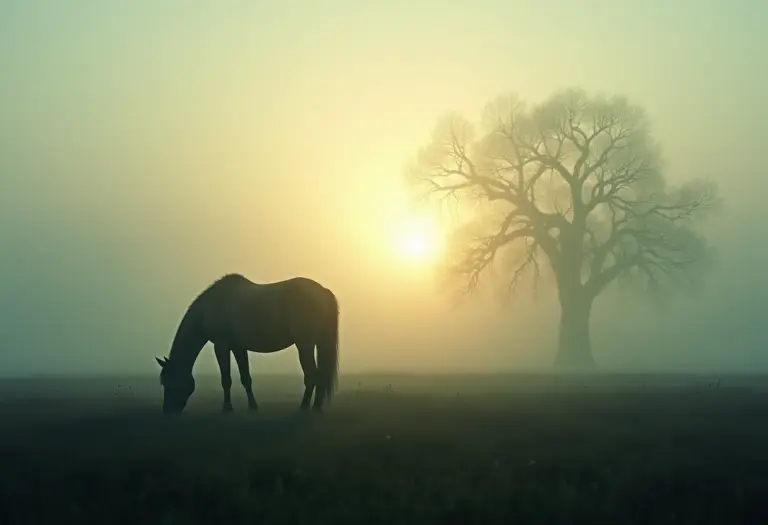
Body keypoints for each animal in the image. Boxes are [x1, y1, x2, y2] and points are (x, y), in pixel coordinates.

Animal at [155, 274, 339, 415]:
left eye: (169, 381)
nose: (168, 411)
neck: (210, 307)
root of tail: (323, 291)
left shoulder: (221, 346)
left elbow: (226, 379)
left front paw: (227, 408)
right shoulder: (238, 347)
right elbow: (246, 378)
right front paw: (253, 406)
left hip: (305, 345)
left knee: (313, 375)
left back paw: (307, 408)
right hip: (316, 344)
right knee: (319, 374)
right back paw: (314, 407)